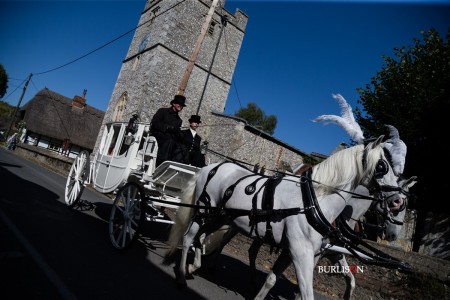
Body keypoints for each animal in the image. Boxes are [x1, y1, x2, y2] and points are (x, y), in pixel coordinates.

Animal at [164, 137, 400, 300]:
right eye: (382, 166)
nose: (398, 200)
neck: (313, 201)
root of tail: (211, 166)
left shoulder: (294, 251)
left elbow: (271, 279)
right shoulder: (302, 254)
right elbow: (306, 294)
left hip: (220, 217)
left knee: (202, 237)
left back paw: (195, 266)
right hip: (203, 212)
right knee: (188, 238)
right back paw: (182, 275)